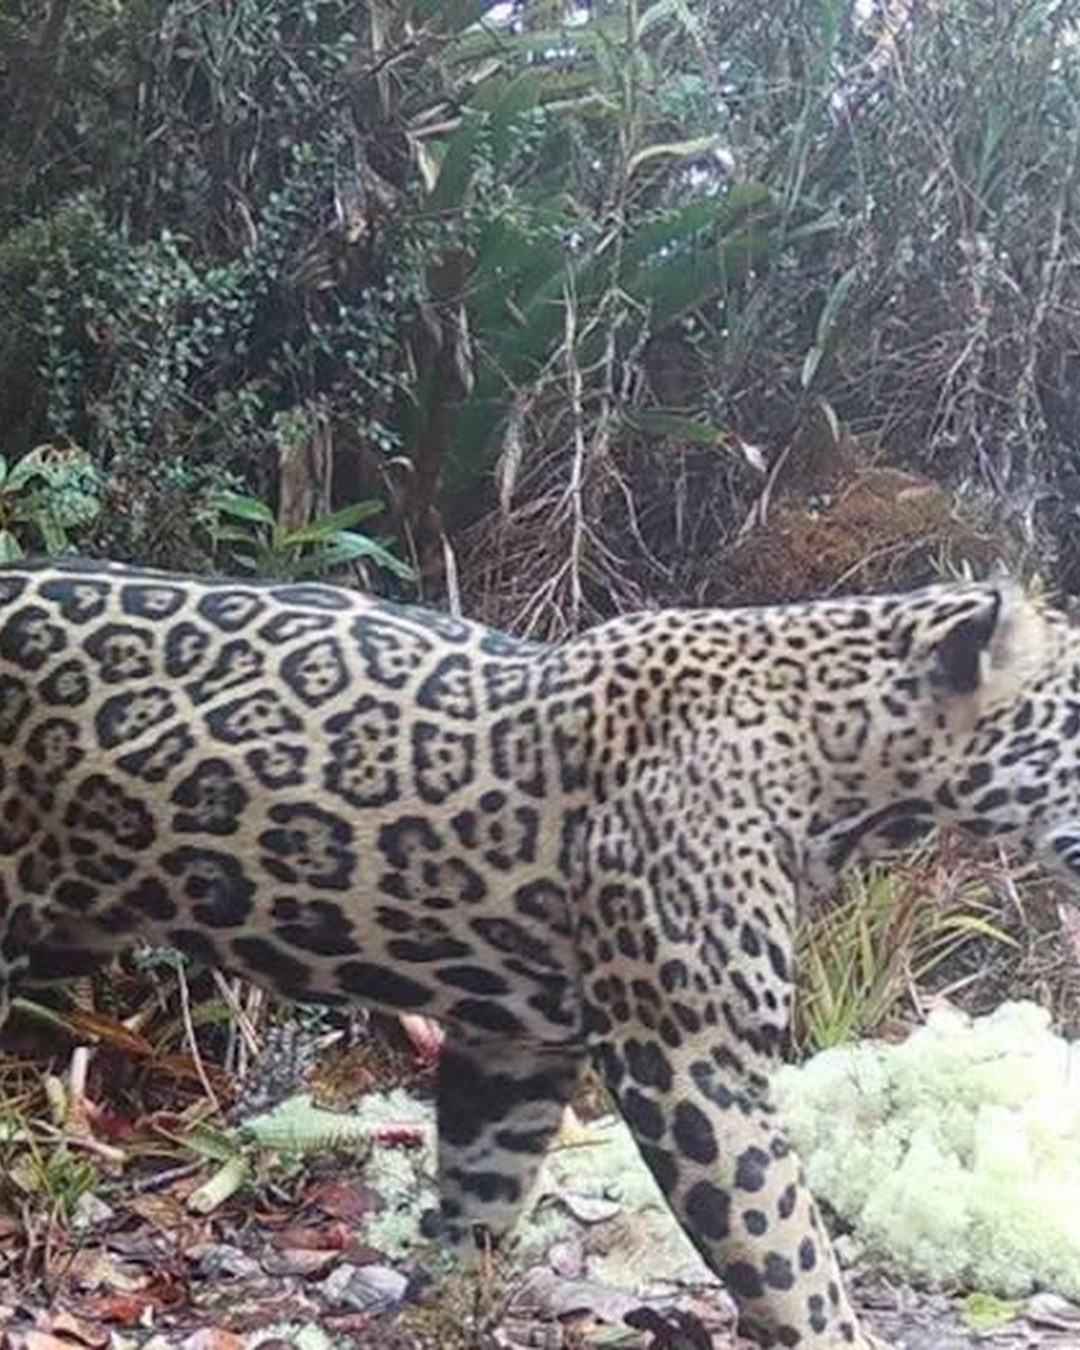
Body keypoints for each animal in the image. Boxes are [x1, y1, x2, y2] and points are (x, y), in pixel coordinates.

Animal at [2, 556, 1080, 1350]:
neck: (839, 762)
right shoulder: (691, 1056)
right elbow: (789, 1256)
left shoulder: (514, 1044)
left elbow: (483, 1190)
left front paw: (443, 1305)